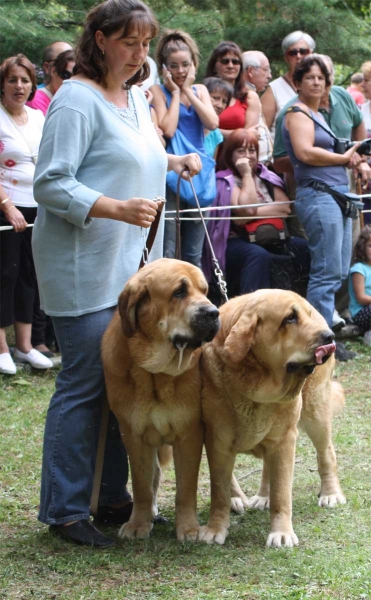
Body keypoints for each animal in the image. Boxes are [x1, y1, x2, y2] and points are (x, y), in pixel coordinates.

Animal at [199, 290, 338, 548]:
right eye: (290, 318)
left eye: (306, 315)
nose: (329, 337)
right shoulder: (217, 442)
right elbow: (219, 492)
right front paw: (215, 528)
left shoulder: (285, 440)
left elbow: (282, 493)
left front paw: (281, 533)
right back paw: (261, 497)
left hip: (316, 414)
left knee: (326, 453)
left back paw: (331, 494)